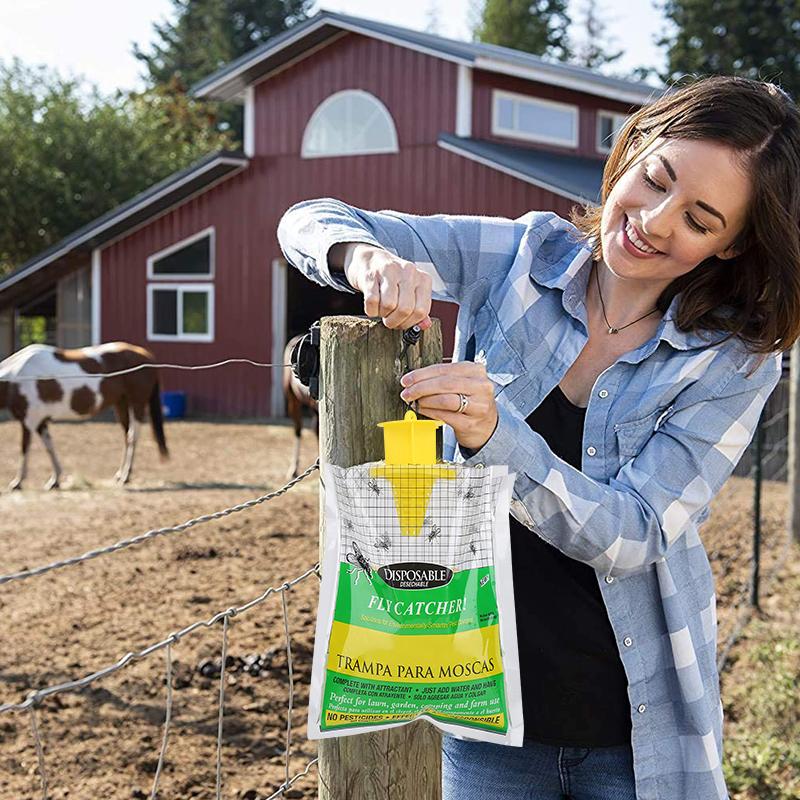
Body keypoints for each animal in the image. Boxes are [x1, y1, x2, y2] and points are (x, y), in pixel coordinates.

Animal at [0, 342, 169, 490]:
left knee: (132, 437)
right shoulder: (41, 423)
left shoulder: (28, 422)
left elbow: (24, 449)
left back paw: (125, 476)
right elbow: (50, 448)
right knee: (126, 436)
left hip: (137, 404)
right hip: (121, 404)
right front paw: (55, 480)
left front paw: (17, 482)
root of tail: (147, 356)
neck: (16, 377)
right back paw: (120, 474)